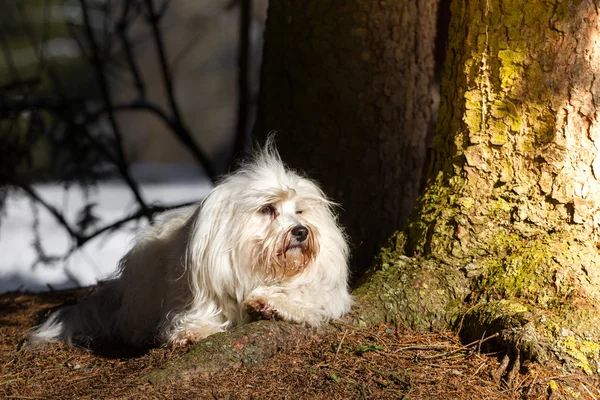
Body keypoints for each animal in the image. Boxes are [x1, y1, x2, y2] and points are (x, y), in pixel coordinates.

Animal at [28, 142, 354, 348]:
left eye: (300, 211)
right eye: (267, 209)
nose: (300, 231)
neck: (259, 270)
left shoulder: (323, 291)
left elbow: (303, 296)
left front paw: (273, 302)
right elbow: (203, 315)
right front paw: (194, 331)